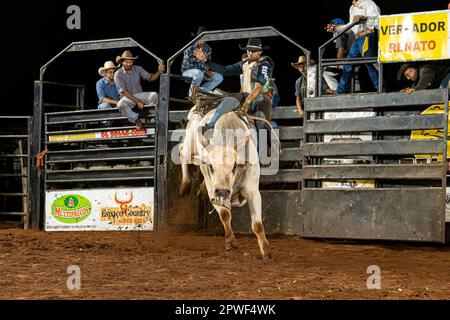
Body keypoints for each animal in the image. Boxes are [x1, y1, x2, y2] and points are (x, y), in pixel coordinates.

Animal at [178, 90, 270, 260]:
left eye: (234, 166)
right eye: (211, 166)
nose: (222, 191)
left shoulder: (253, 191)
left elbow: (257, 225)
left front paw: (266, 251)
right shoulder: (213, 192)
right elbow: (225, 215)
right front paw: (230, 241)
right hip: (190, 144)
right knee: (182, 153)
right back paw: (184, 187)